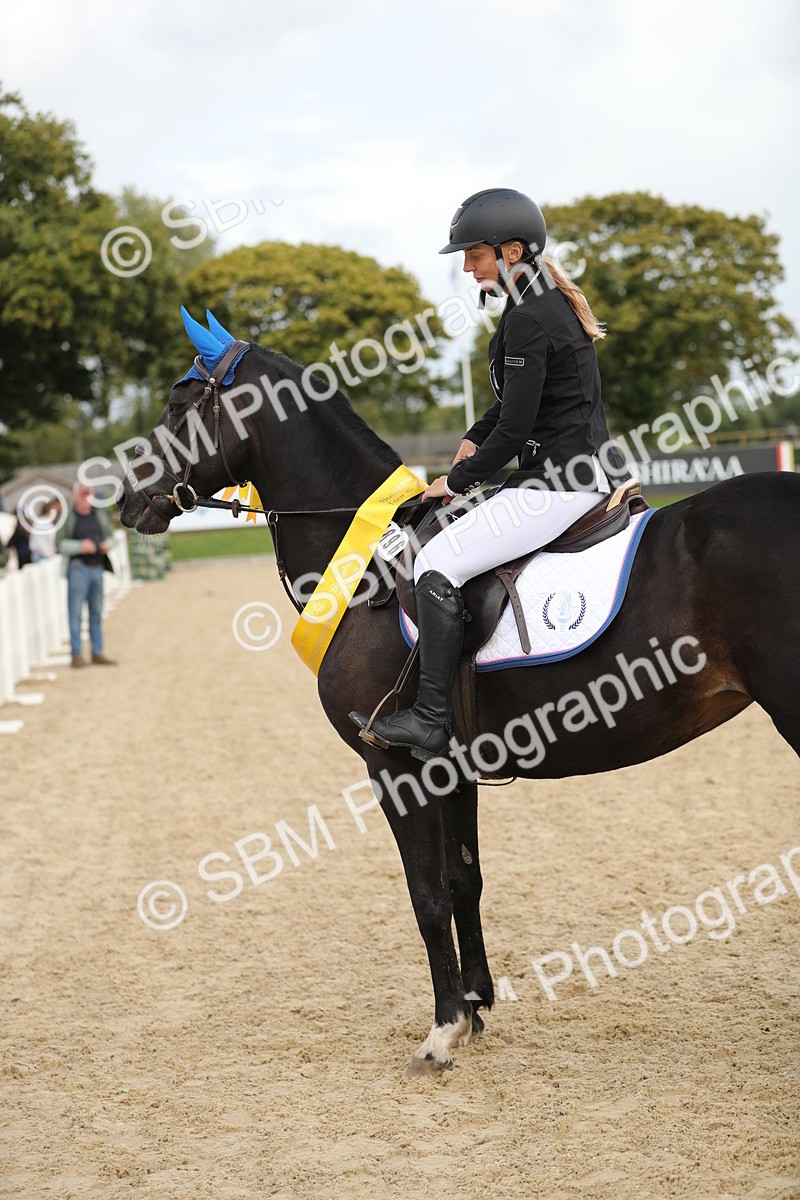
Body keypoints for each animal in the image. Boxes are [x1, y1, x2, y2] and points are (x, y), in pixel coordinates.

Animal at [118, 328, 800, 1077]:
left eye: (179, 407)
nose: (124, 499)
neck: (367, 569)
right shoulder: (450, 766)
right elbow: (462, 879)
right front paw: (475, 1005)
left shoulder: (395, 768)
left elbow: (425, 893)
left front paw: (443, 1028)